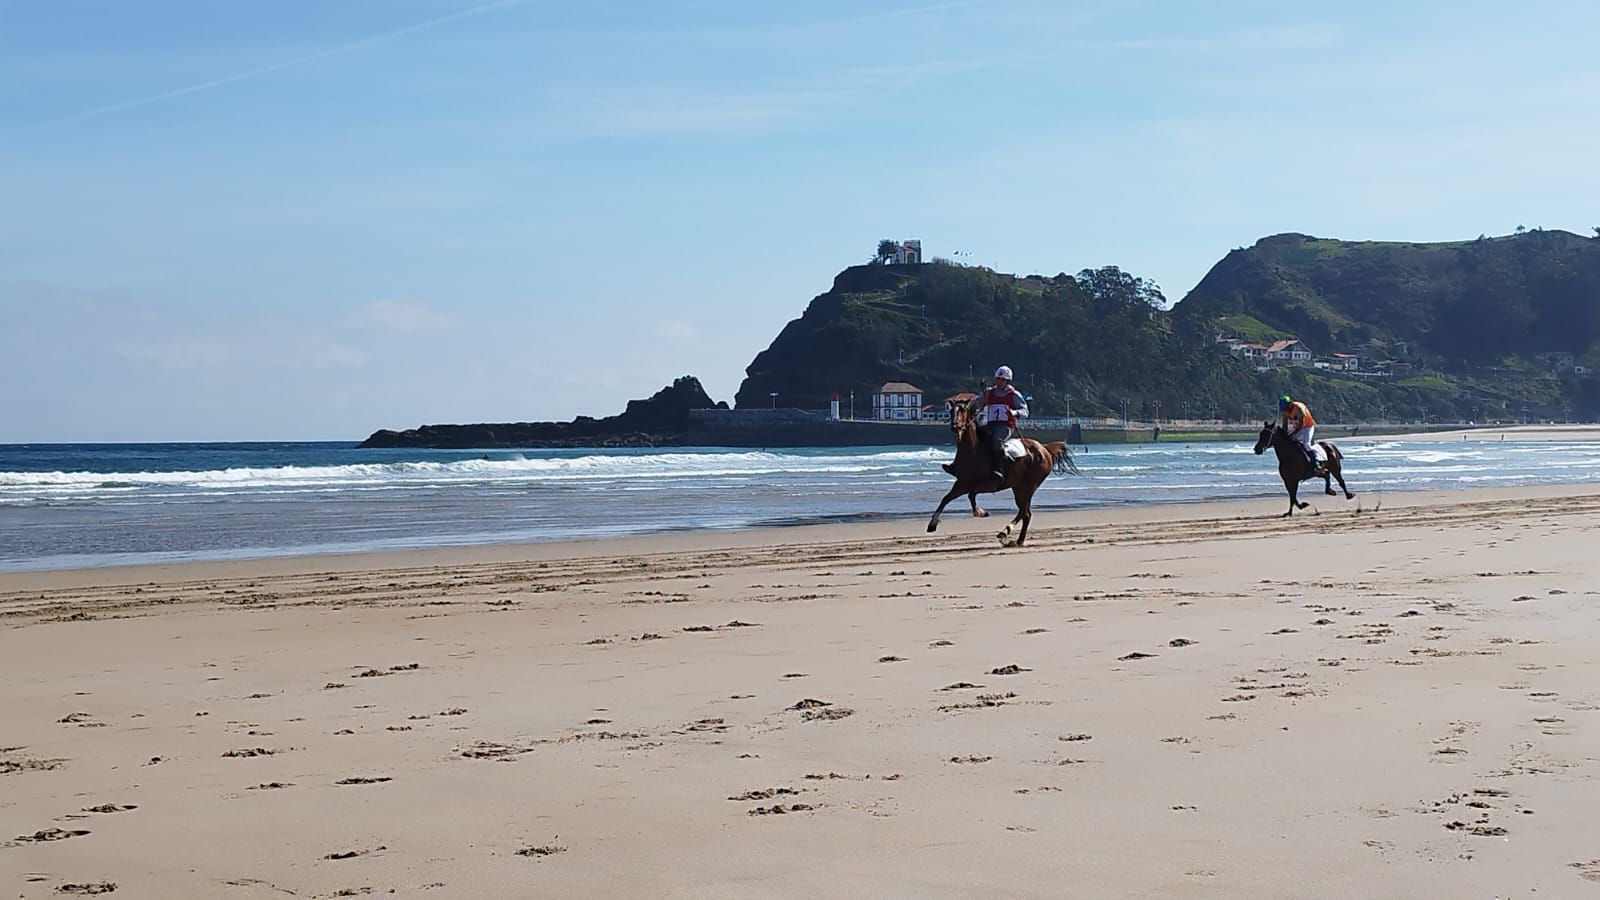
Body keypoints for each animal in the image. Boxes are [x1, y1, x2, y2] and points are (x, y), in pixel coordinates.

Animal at [928, 400, 1075, 547]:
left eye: (963, 410)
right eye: (951, 411)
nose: (955, 427)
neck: (973, 452)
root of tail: (1045, 449)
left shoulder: (984, 484)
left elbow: (970, 495)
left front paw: (980, 512)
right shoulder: (962, 483)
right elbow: (946, 499)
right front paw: (932, 524)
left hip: (1029, 486)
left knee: (1024, 512)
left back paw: (1006, 531)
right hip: (1018, 487)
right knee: (1025, 513)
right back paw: (1018, 540)